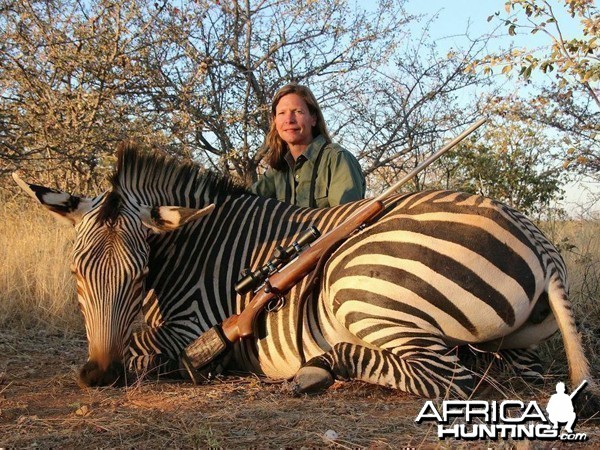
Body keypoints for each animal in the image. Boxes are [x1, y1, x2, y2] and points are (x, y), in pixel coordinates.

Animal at [14, 143, 596, 400]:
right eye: (75, 274)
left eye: (139, 274)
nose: (100, 374)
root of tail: (536, 236)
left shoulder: (187, 326)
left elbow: (147, 349)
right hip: (517, 345)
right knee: (515, 376)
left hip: (357, 285)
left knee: (447, 380)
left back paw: (318, 367)